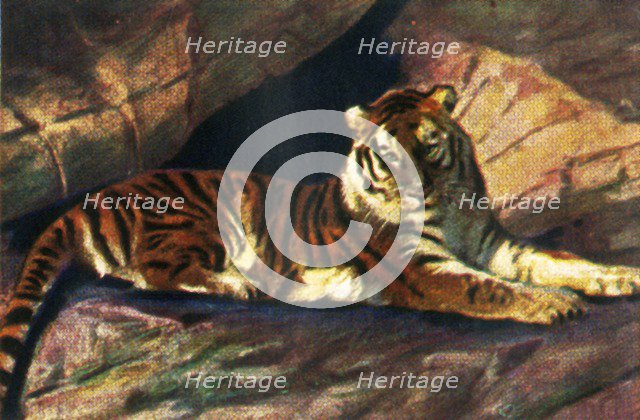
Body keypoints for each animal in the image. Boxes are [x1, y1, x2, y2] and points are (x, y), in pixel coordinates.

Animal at [1, 85, 639, 414]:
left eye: (430, 146)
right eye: (388, 156)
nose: (417, 187)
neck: (452, 209)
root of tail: (88, 199)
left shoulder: (496, 245)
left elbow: (557, 262)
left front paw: (619, 277)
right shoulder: (427, 272)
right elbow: (489, 288)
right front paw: (555, 305)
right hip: (193, 218)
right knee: (154, 272)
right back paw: (242, 284)